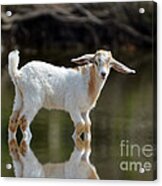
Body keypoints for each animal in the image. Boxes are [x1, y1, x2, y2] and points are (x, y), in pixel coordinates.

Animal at [7, 48, 135, 139]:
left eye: (110, 63)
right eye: (95, 62)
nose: (103, 74)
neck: (88, 83)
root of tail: (18, 74)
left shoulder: (85, 111)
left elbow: (87, 125)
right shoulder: (72, 107)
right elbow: (80, 125)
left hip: (19, 97)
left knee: (14, 120)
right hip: (33, 100)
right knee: (24, 120)